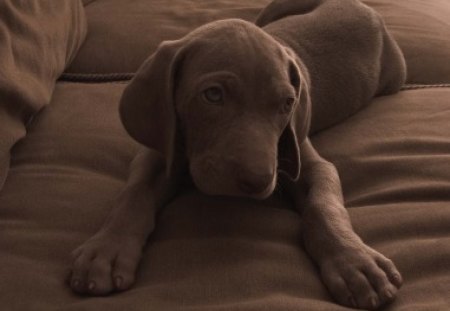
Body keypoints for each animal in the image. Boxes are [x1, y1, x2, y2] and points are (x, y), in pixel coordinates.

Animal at [68, 0, 406, 310]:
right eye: (213, 95)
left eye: (287, 104)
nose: (257, 181)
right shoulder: (158, 150)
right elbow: (134, 195)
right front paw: (107, 249)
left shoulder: (308, 160)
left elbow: (324, 205)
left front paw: (355, 261)